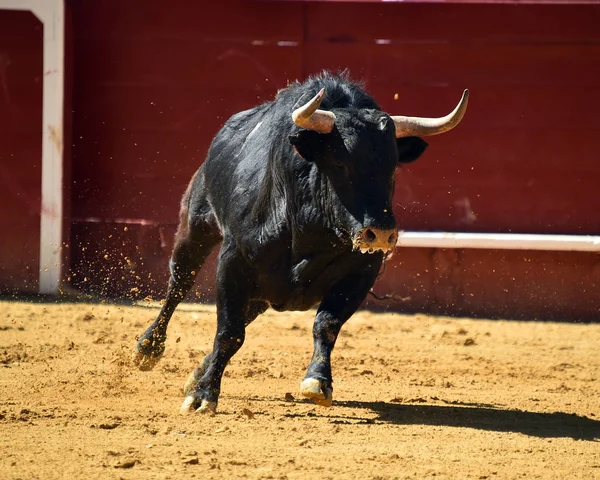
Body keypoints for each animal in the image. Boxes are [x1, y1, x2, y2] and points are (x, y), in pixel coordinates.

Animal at [132, 71, 468, 412]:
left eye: (393, 167)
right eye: (340, 163)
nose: (382, 233)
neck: (310, 230)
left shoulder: (361, 271)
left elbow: (326, 324)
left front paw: (318, 382)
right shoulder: (233, 261)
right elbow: (228, 332)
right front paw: (203, 396)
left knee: (248, 310)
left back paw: (195, 371)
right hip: (196, 225)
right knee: (179, 282)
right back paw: (148, 348)